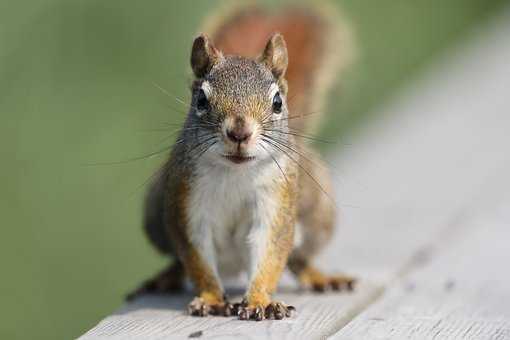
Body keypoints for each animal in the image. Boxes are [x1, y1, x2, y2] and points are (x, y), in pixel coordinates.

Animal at [128, 3, 354, 322]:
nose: (239, 132)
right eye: (201, 100)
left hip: (318, 215)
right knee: (178, 260)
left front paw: (260, 301)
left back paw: (320, 277)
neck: (234, 173)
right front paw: (211, 299)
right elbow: (196, 259)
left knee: (298, 259)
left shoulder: (276, 202)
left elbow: (270, 254)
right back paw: (166, 277)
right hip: (154, 216)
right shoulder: (186, 204)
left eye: (277, 102)